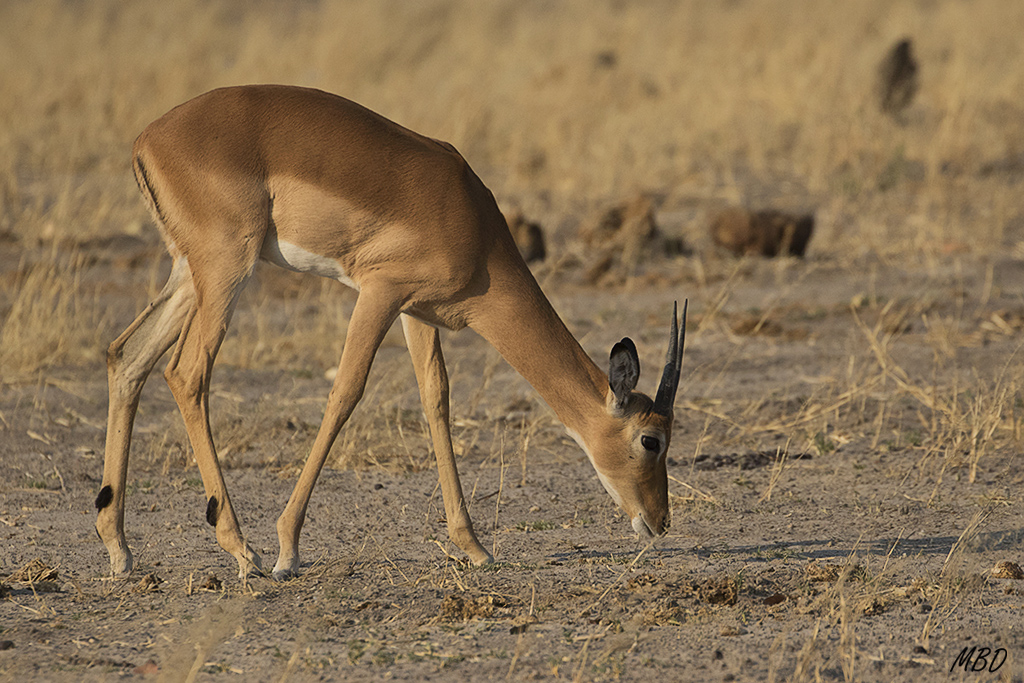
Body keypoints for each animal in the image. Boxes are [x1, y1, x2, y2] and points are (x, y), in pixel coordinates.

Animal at [95, 85, 686, 581]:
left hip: (189, 273)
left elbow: (436, 399)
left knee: (128, 356)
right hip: (226, 269)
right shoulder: (379, 292)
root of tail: (148, 139)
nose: (659, 522)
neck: (474, 225)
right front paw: (287, 550)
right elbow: (345, 393)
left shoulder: (417, 311)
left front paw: (473, 547)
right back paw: (243, 550)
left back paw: (120, 550)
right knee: (186, 372)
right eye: (650, 440)